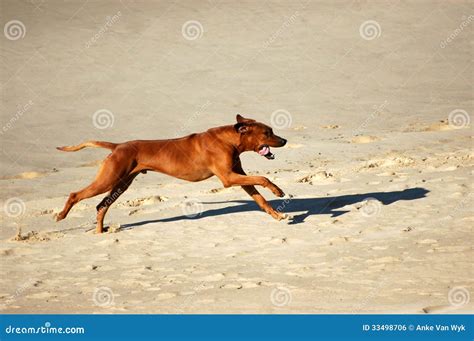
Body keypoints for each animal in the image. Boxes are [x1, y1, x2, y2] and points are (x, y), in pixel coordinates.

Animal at [54, 114, 286, 231]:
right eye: (268, 132)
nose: (284, 140)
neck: (229, 140)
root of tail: (118, 146)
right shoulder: (229, 178)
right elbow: (263, 178)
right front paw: (277, 190)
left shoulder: (238, 175)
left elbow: (259, 197)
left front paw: (276, 214)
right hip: (109, 179)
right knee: (76, 195)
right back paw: (62, 215)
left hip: (121, 183)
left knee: (101, 205)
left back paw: (100, 232)